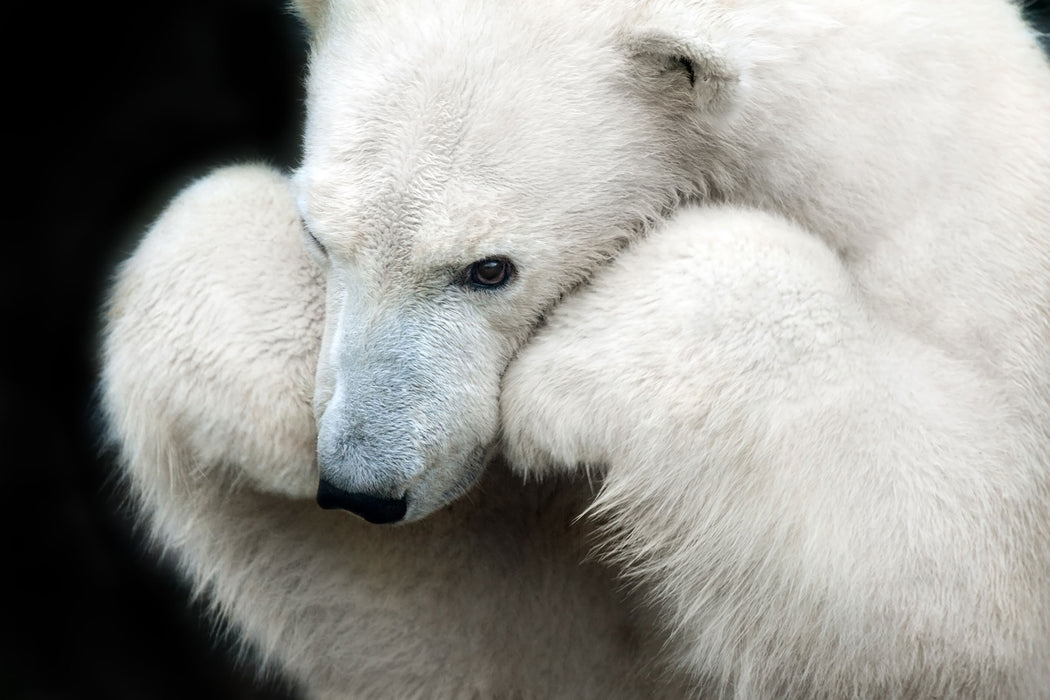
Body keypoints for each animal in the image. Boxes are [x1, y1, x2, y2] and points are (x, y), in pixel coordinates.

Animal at [102, 0, 1050, 696]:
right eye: (317, 235)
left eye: (490, 269)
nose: (362, 486)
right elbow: (498, 639)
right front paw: (254, 403)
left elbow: (968, 595)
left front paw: (568, 386)